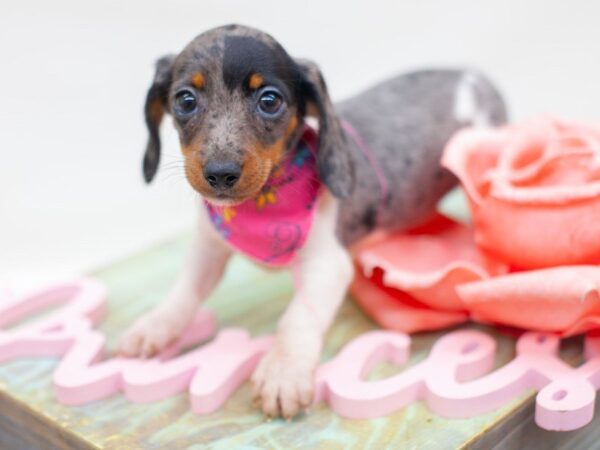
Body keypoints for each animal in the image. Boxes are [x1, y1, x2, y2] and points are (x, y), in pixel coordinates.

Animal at [117, 23, 506, 418]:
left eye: (269, 101)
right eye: (185, 100)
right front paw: (157, 324)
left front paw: (283, 371)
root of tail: (471, 77)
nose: (221, 173)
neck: (261, 204)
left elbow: (298, 316)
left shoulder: (326, 264)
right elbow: (185, 290)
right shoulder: (208, 245)